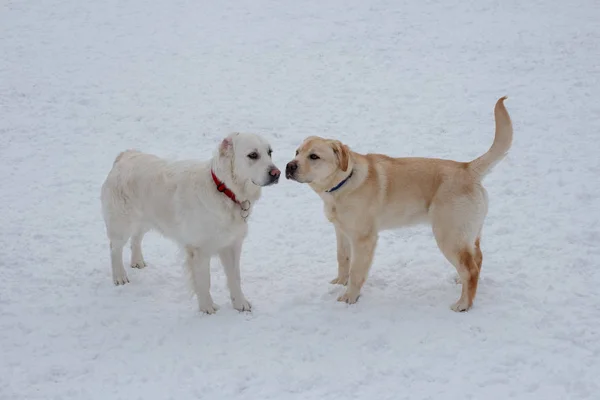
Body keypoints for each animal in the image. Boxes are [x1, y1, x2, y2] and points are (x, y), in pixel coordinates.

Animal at [101, 133, 282, 314]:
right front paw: (207, 308)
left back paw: (137, 261)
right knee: (114, 248)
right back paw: (119, 276)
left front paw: (240, 304)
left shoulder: (232, 245)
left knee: (136, 238)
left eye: (270, 152)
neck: (223, 190)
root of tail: (125, 156)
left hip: (147, 219)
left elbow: (235, 278)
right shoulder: (199, 250)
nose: (277, 173)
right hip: (121, 224)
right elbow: (204, 281)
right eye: (253, 155)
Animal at [288, 97, 512, 312]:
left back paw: (463, 304)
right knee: (477, 259)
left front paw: (349, 297)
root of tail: (468, 168)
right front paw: (339, 283)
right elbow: (342, 259)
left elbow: (356, 270)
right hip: (469, 234)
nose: (289, 166)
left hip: (448, 234)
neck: (343, 182)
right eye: (297, 152)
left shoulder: (363, 238)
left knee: (471, 269)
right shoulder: (341, 231)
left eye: (314, 156)